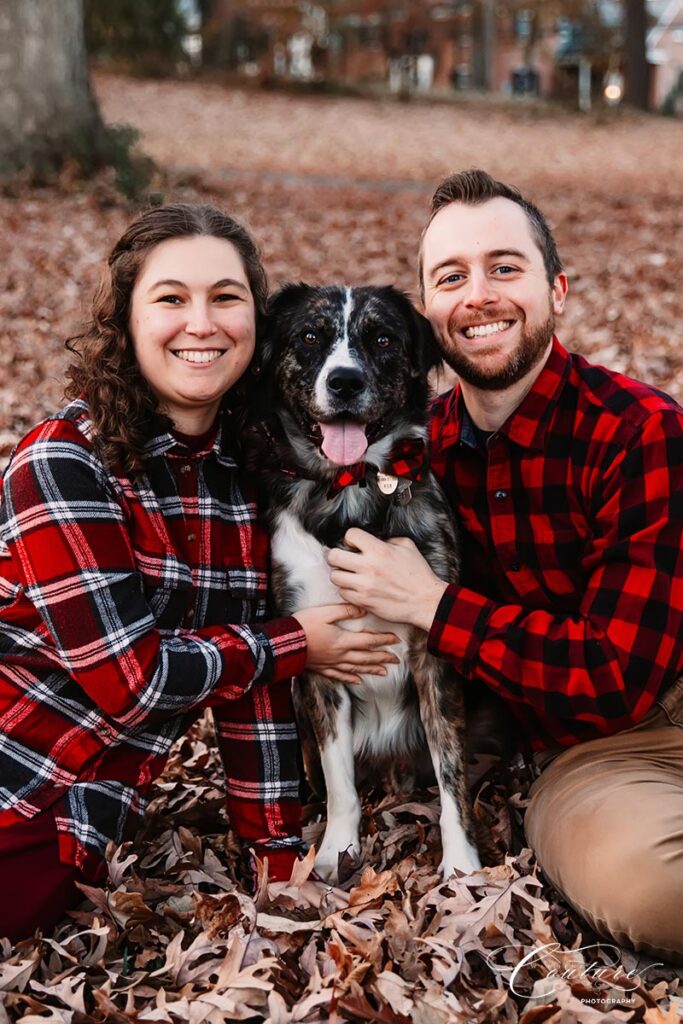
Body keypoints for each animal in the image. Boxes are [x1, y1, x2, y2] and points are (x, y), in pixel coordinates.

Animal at [249, 282, 481, 880]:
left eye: (381, 339)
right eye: (310, 336)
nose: (345, 381)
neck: (350, 490)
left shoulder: (432, 652)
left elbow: (452, 775)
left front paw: (462, 865)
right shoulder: (321, 661)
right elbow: (340, 783)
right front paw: (337, 851)